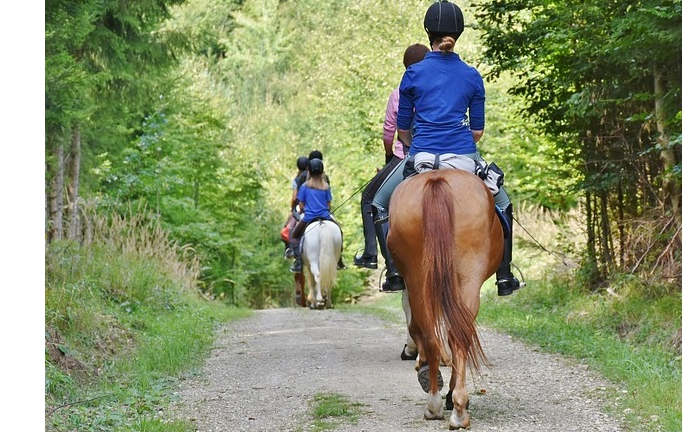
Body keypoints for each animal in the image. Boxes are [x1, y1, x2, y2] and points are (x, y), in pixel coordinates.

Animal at [390, 169, 502, 428]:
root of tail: (436, 179)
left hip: (423, 279)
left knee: (438, 335)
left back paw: (439, 403)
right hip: (464, 279)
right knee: (453, 336)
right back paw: (453, 405)